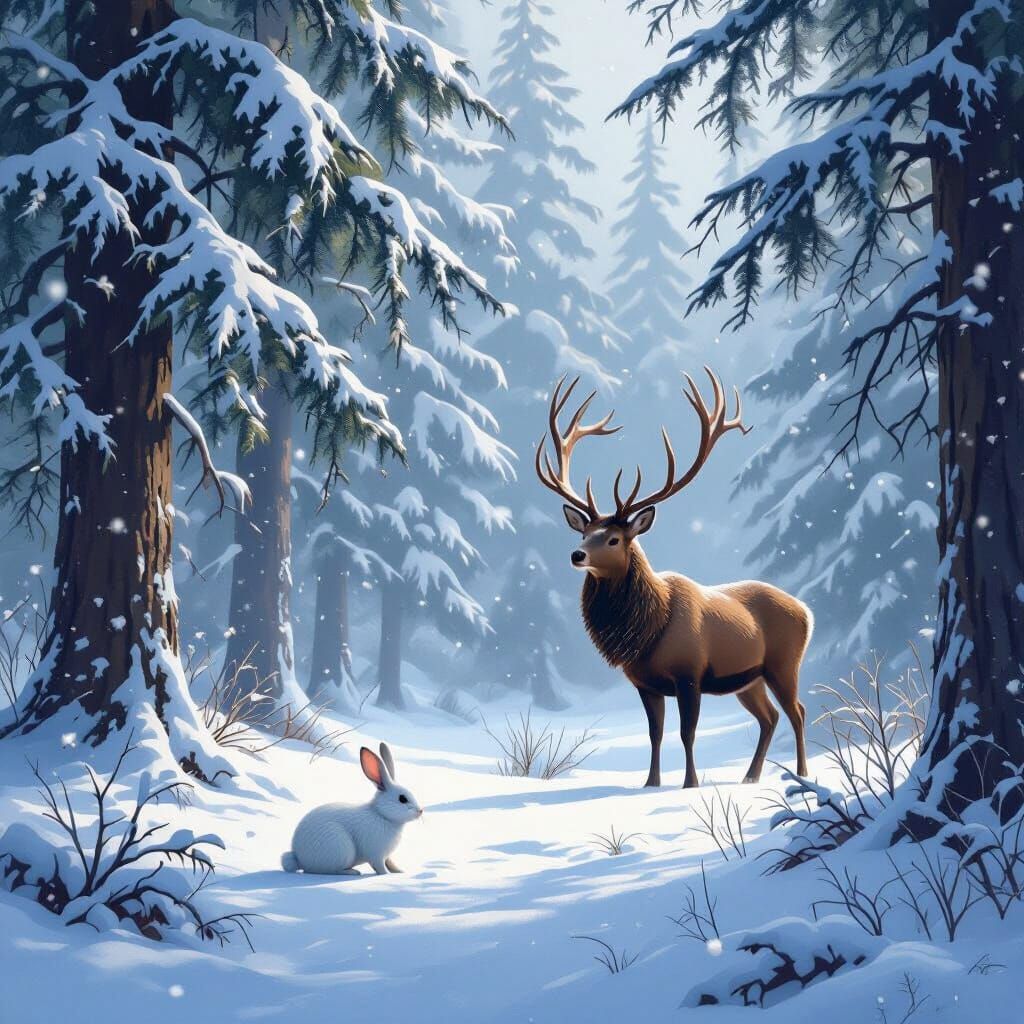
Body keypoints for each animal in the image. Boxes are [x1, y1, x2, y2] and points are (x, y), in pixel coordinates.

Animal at [281, 742, 423, 875]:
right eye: (402, 799)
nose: (420, 811)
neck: (381, 814)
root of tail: (298, 857)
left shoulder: (386, 856)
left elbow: (390, 863)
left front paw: (399, 872)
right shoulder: (376, 854)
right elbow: (380, 867)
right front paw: (385, 875)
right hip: (340, 849)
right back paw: (352, 872)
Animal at [535, 367, 812, 789]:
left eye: (614, 538)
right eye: (584, 533)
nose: (576, 555)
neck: (648, 629)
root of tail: (807, 611)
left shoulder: (689, 672)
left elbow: (687, 732)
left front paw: (690, 784)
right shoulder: (645, 683)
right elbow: (656, 733)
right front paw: (651, 783)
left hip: (783, 663)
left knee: (797, 711)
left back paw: (802, 774)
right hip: (749, 679)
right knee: (770, 717)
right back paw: (750, 777)